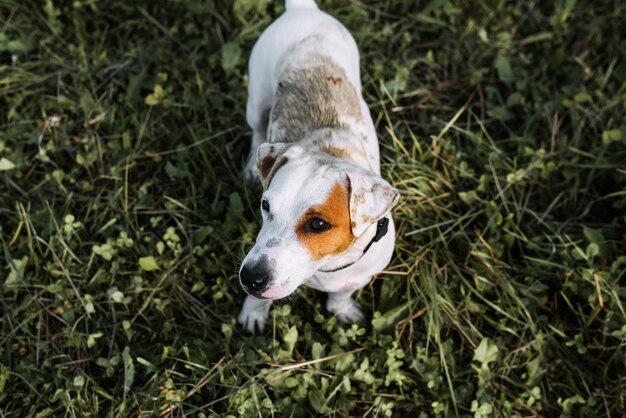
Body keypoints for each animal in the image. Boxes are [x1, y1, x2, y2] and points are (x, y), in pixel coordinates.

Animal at [236, 0, 398, 334]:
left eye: (318, 224)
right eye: (265, 206)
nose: (251, 278)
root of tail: (303, 9)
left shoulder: (360, 275)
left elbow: (341, 296)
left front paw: (342, 310)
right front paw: (254, 313)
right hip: (257, 99)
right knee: (258, 128)